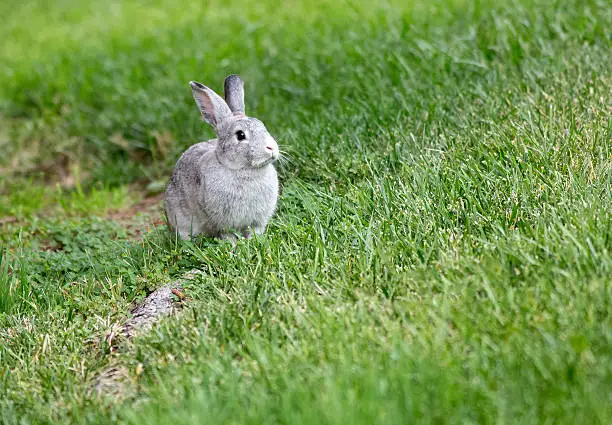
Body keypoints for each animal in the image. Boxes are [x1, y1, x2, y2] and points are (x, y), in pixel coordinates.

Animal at [163, 75, 278, 240]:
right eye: (240, 135)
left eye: (262, 126)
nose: (272, 147)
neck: (243, 170)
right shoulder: (224, 223)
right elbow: (228, 234)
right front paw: (233, 244)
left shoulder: (257, 221)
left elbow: (254, 231)